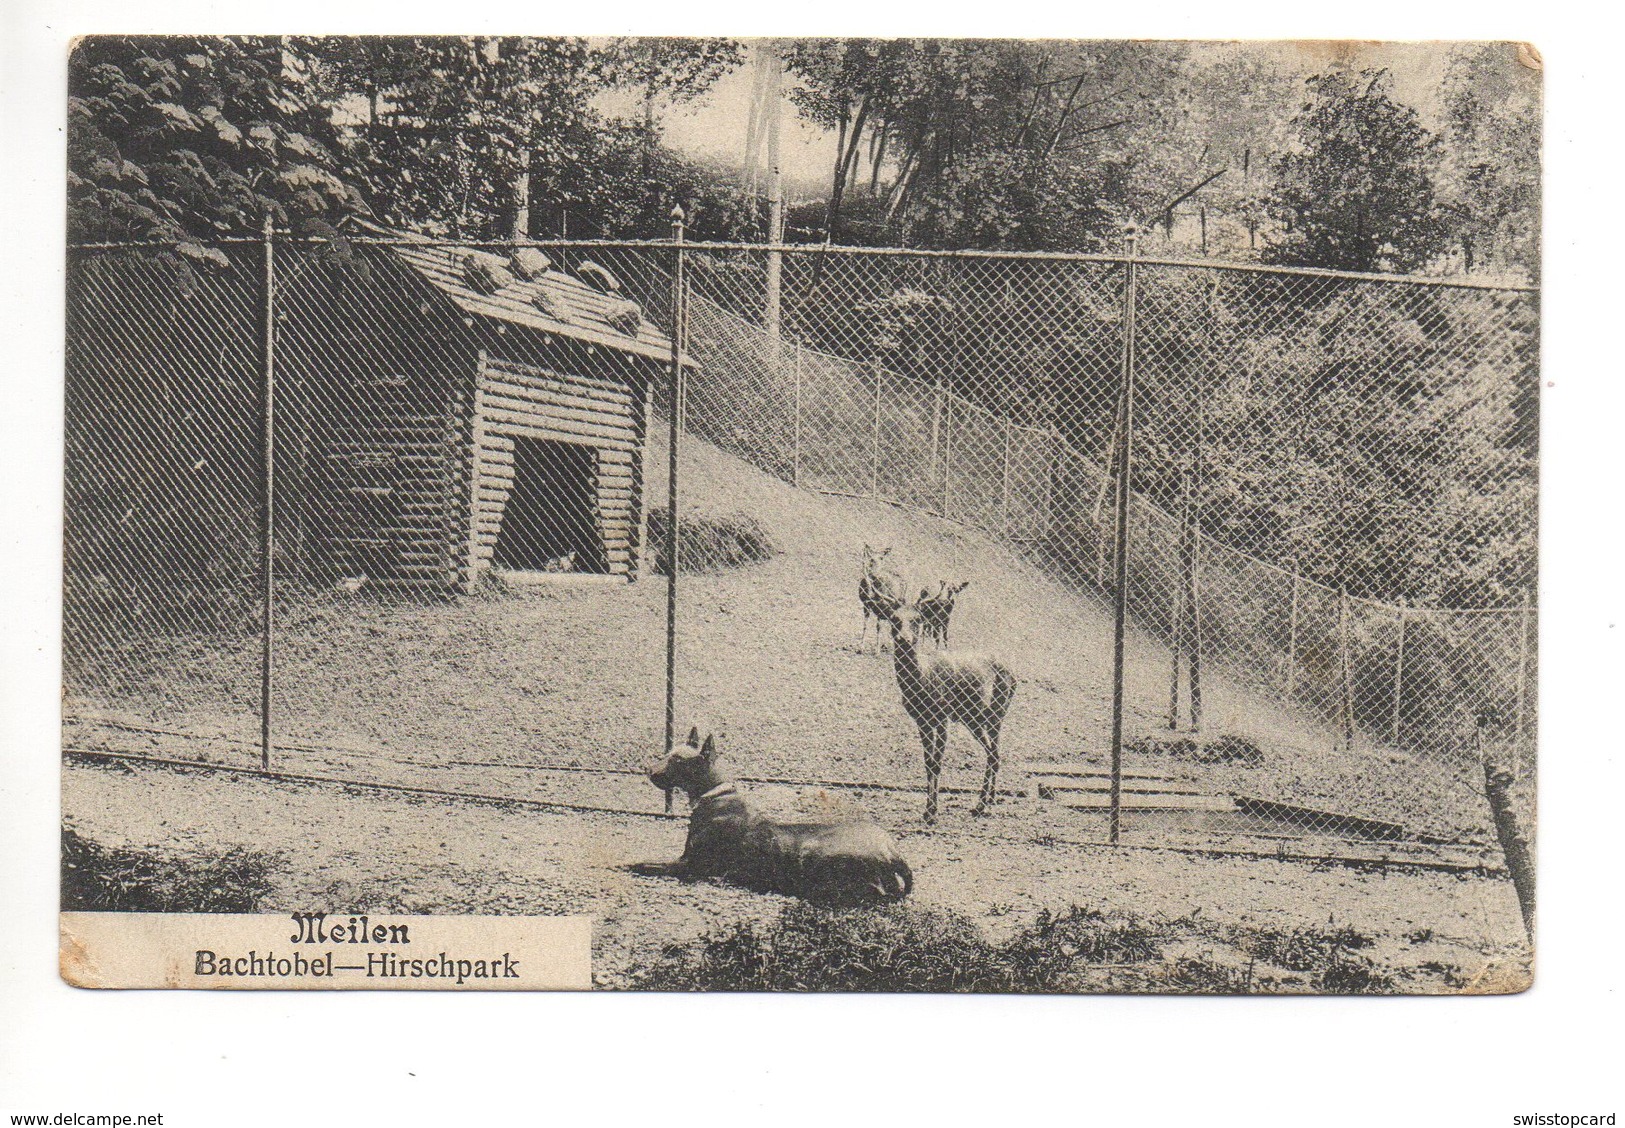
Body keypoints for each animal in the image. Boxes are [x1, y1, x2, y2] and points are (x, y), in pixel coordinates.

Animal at [630, 728, 916, 903]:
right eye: (668, 754)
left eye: (678, 760)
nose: (649, 771)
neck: (716, 795)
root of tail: (893, 853)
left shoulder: (690, 863)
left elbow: (642, 864)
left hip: (815, 851)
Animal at [890, 604, 1014, 825]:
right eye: (894, 618)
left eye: (916, 619)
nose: (903, 639)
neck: (924, 679)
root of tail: (1014, 676)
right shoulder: (922, 721)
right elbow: (928, 762)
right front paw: (927, 810)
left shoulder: (942, 717)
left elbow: (937, 763)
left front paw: (932, 812)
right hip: (975, 720)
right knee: (994, 753)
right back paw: (989, 799)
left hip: (995, 714)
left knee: (993, 754)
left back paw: (981, 805)